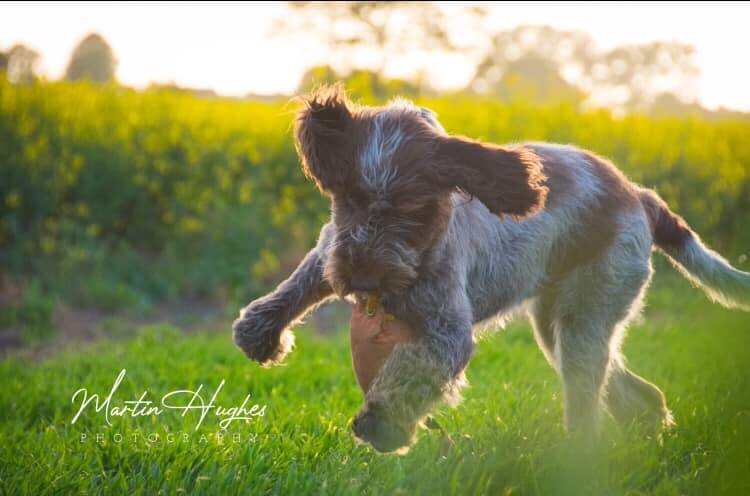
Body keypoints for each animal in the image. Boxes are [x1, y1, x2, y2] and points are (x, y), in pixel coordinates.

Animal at [232, 84, 748, 454]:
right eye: (349, 199)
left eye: (411, 209)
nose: (362, 279)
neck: (420, 248)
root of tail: (638, 195)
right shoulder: (331, 249)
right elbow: (299, 283)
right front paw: (260, 331)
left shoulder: (446, 334)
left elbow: (408, 371)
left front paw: (381, 424)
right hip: (562, 326)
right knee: (638, 396)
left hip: (584, 318)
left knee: (591, 407)